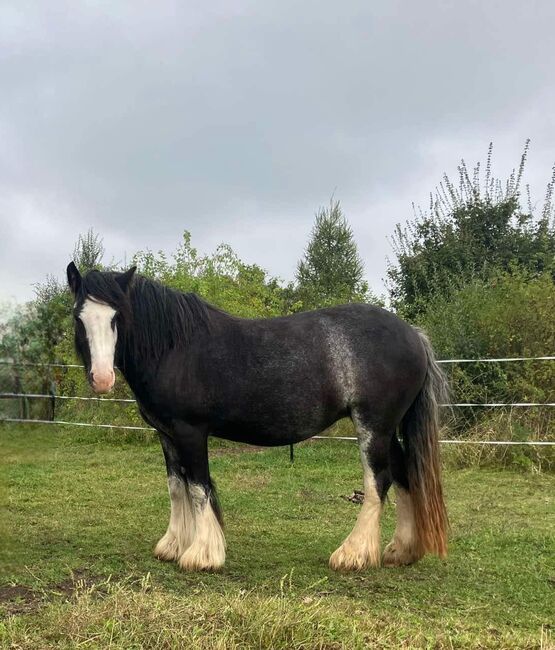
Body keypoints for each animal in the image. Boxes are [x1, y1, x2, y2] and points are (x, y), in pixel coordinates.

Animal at [67, 260, 450, 568]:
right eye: (79, 317)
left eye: (117, 317)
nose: (102, 379)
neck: (175, 348)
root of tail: (413, 335)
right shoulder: (166, 434)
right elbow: (177, 487)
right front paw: (173, 545)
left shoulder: (191, 431)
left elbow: (198, 487)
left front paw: (203, 554)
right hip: (388, 429)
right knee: (403, 475)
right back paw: (401, 550)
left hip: (373, 425)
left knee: (378, 481)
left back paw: (352, 554)